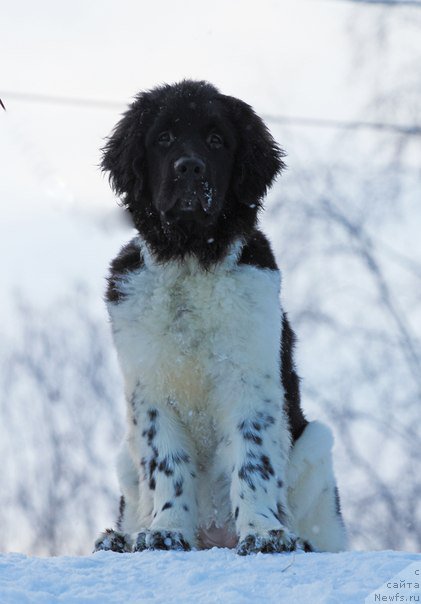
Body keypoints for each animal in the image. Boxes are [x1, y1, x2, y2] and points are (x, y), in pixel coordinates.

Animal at [93, 80, 346, 556]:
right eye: (164, 138)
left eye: (216, 140)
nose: (190, 168)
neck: (191, 259)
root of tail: (215, 539)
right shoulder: (150, 388)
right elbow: (167, 464)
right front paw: (165, 531)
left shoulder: (250, 381)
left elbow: (253, 460)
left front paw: (264, 533)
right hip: (123, 455)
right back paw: (122, 538)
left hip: (317, 445)